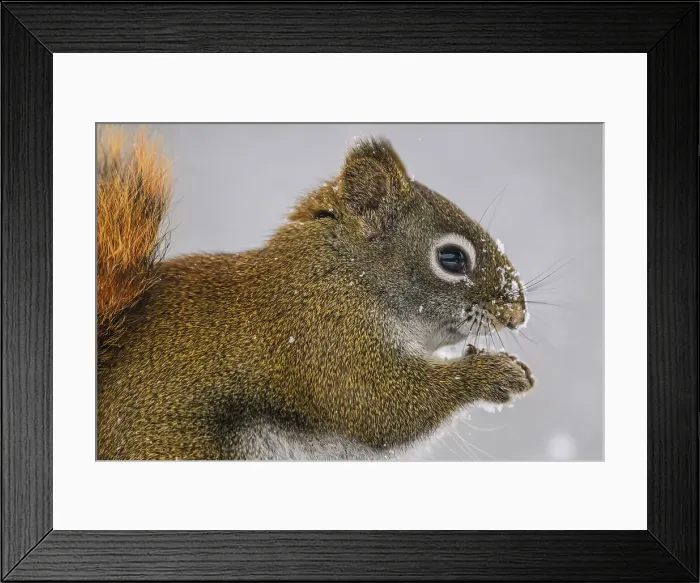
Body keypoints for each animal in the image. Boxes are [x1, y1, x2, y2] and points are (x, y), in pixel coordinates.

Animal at [97, 127, 534, 460]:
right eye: (452, 258)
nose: (516, 314)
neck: (349, 273)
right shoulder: (327, 335)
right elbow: (381, 404)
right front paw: (494, 373)